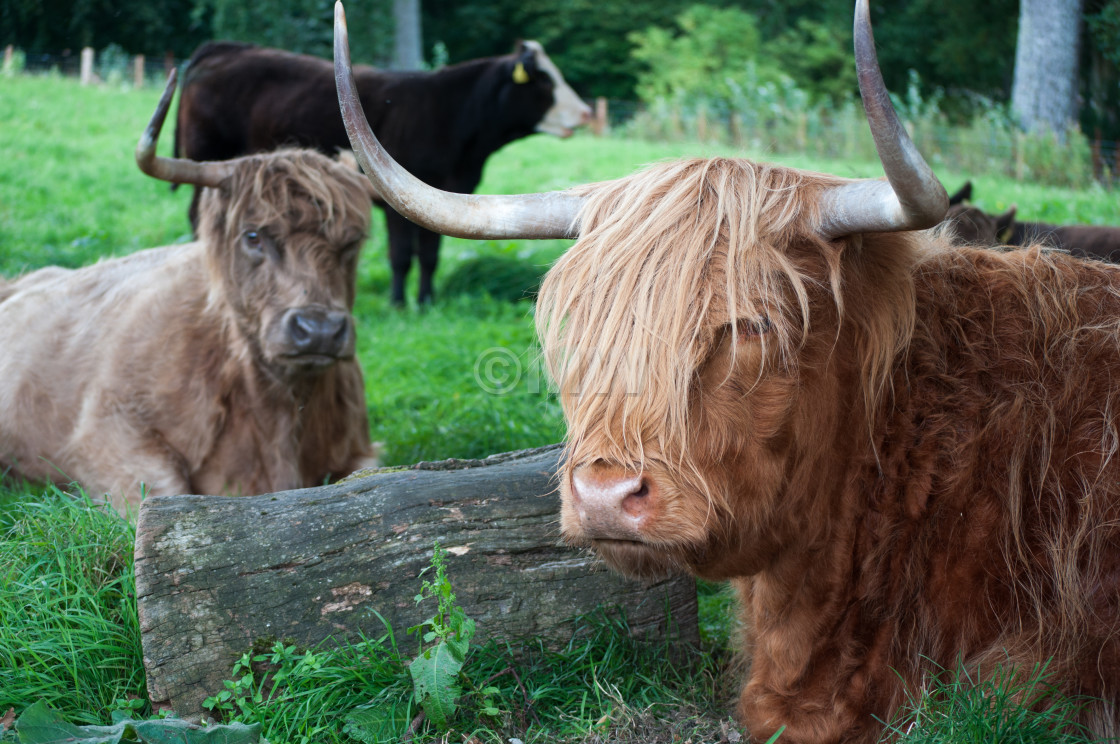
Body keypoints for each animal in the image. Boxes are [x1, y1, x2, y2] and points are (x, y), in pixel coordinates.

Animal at [0, 73, 378, 517]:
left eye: (352, 242)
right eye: (253, 236)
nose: (318, 329)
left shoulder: (360, 448)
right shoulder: (106, 434)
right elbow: (166, 493)